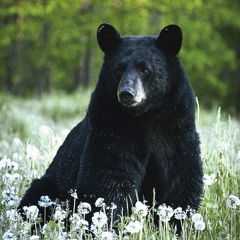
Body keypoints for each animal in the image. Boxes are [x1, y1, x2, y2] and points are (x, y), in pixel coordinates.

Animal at [18, 22, 202, 229]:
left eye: (145, 69)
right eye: (119, 69)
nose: (126, 93)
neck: (145, 117)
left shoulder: (176, 130)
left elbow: (179, 179)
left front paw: (178, 225)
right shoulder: (111, 128)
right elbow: (110, 177)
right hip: (50, 186)